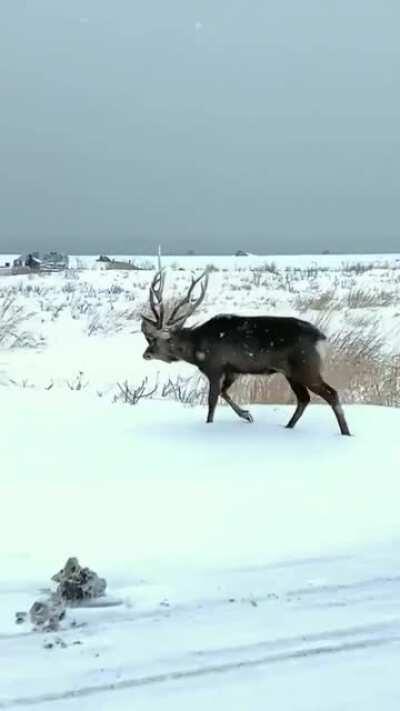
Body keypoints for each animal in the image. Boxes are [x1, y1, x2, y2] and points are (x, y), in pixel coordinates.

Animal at [141, 269, 351, 435]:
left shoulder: (215, 367)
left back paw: (345, 433)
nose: (146, 354)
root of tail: (322, 340)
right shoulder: (233, 369)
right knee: (304, 399)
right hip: (290, 372)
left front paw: (211, 424)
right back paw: (288, 427)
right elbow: (224, 392)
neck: (197, 349)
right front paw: (247, 415)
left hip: (306, 367)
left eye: (155, 339)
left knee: (331, 394)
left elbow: (212, 402)